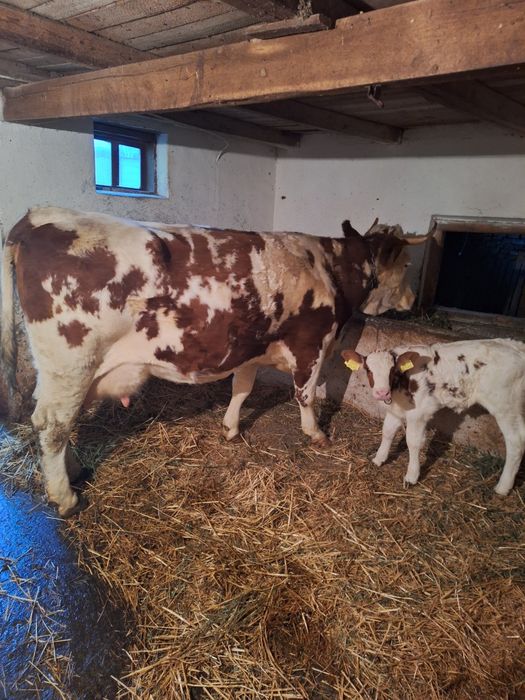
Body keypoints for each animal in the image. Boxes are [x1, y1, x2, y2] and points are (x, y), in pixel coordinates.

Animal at [1, 207, 425, 516]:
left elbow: (242, 388)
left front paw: (231, 428)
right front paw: (316, 433)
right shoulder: (311, 343)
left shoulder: (252, 346)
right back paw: (66, 497)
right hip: (72, 364)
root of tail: (41, 215)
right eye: (407, 264)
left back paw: (74, 472)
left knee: (58, 422)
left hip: (67, 372)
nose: (413, 301)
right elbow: (305, 394)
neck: (328, 268)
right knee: (53, 425)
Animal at [342, 339, 525, 496]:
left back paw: (503, 487)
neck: (402, 381)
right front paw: (379, 459)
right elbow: (387, 432)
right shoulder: (396, 410)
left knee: (516, 441)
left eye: (392, 370)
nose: (382, 393)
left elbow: (412, 442)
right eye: (368, 370)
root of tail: (516, 346)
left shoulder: (418, 414)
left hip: (505, 406)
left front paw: (412, 476)